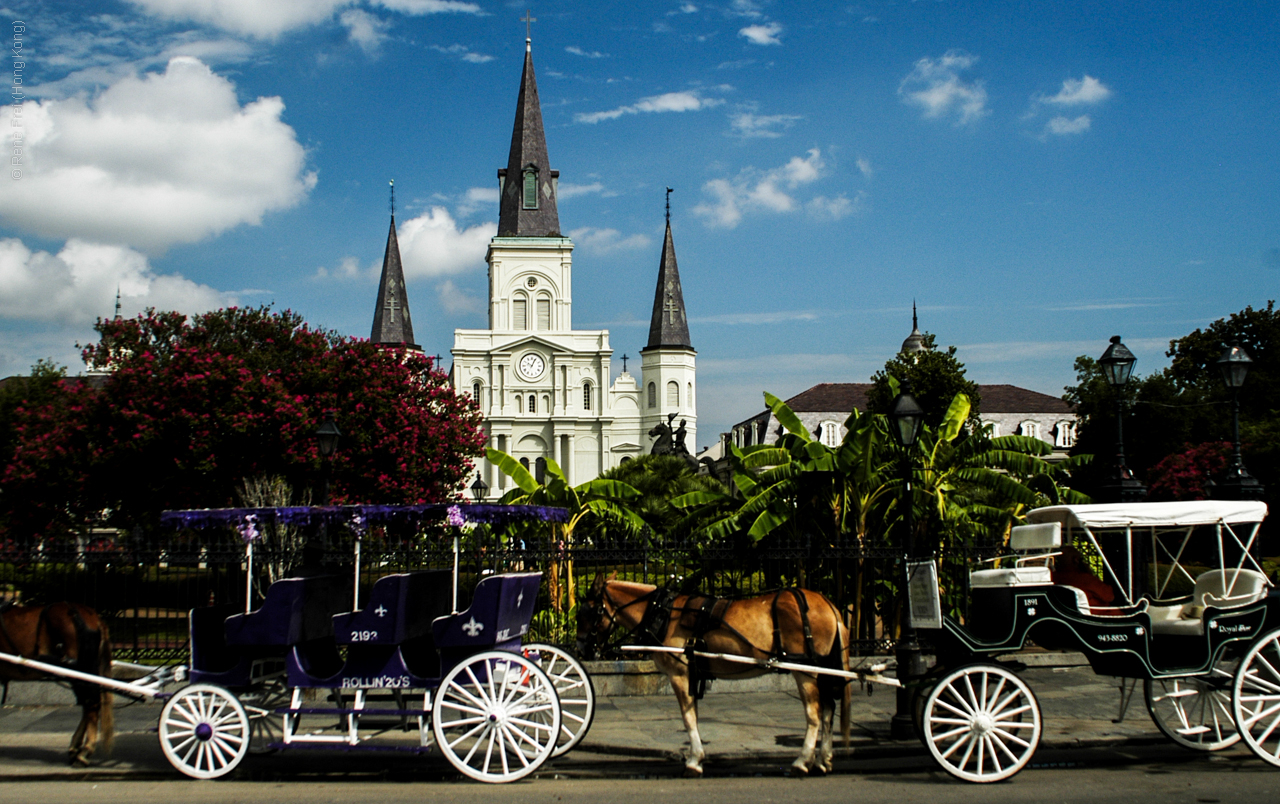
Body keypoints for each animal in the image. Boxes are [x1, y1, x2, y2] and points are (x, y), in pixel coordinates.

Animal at [1, 604, 115, 768]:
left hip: (79, 669)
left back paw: (84, 750)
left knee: (91, 703)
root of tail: (93, 617)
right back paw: (76, 748)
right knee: (89, 704)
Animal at [581, 573, 849, 773]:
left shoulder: (680, 673)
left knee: (814, 712)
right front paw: (697, 755)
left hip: (805, 671)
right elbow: (694, 715)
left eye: (588, 611)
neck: (662, 612)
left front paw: (693, 760)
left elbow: (688, 717)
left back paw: (803, 760)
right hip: (820, 670)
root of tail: (828, 604)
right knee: (828, 708)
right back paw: (823, 759)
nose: (581, 648)